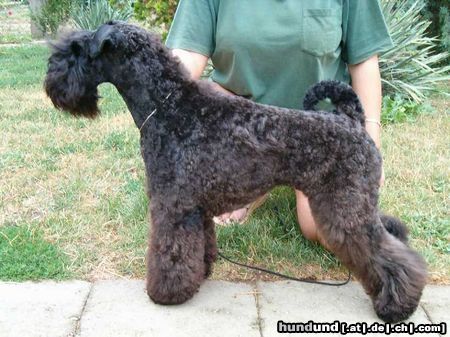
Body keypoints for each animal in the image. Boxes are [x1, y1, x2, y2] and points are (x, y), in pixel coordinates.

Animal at [44, 22, 428, 322]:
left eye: (77, 49)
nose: (52, 80)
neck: (168, 106)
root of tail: (350, 120)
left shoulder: (172, 206)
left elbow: (169, 252)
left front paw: (165, 293)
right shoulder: (194, 209)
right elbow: (200, 244)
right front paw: (201, 274)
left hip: (342, 208)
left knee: (390, 254)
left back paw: (397, 305)